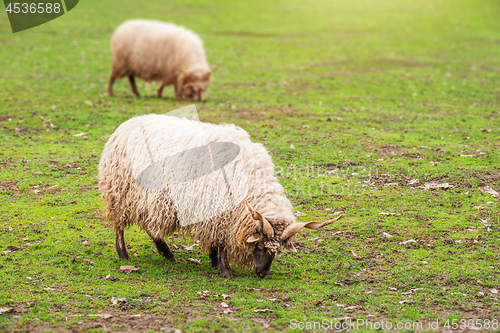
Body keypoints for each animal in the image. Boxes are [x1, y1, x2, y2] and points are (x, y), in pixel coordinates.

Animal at [96, 115, 344, 276]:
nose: (262, 274)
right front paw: (224, 269)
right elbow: (222, 241)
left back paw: (166, 253)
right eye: (260, 247)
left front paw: (215, 261)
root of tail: (126, 126)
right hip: (120, 192)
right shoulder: (221, 211)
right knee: (119, 224)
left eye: (277, 251)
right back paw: (123, 254)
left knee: (150, 225)